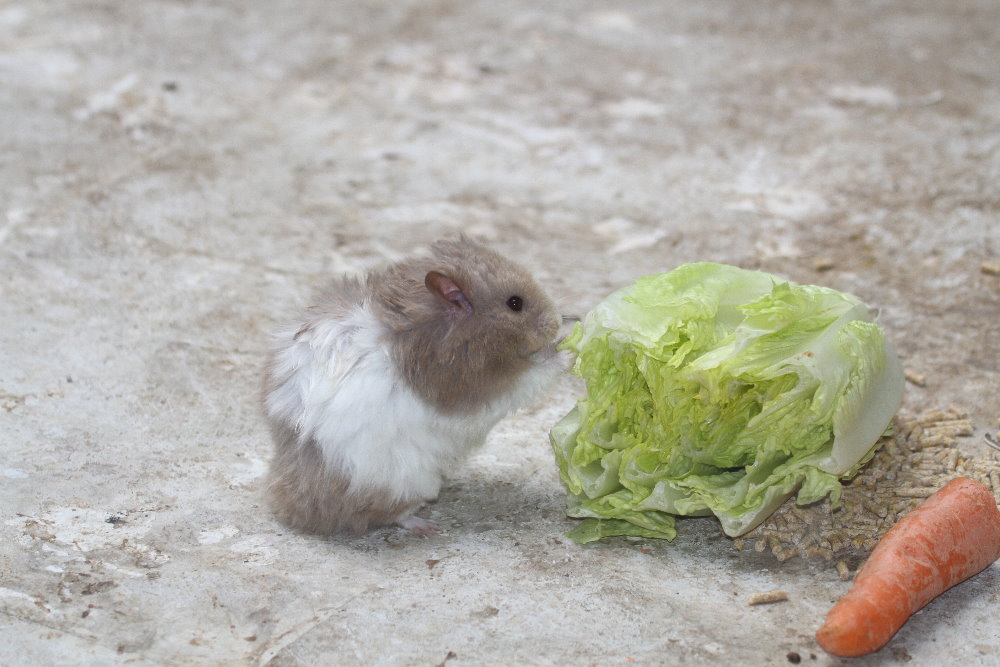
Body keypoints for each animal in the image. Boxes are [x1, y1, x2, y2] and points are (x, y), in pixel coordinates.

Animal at [262, 237, 566, 535]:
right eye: (515, 303)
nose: (557, 321)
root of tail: (293, 510)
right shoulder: (480, 389)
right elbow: (533, 371)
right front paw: (566, 349)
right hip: (400, 479)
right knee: (389, 513)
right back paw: (428, 526)